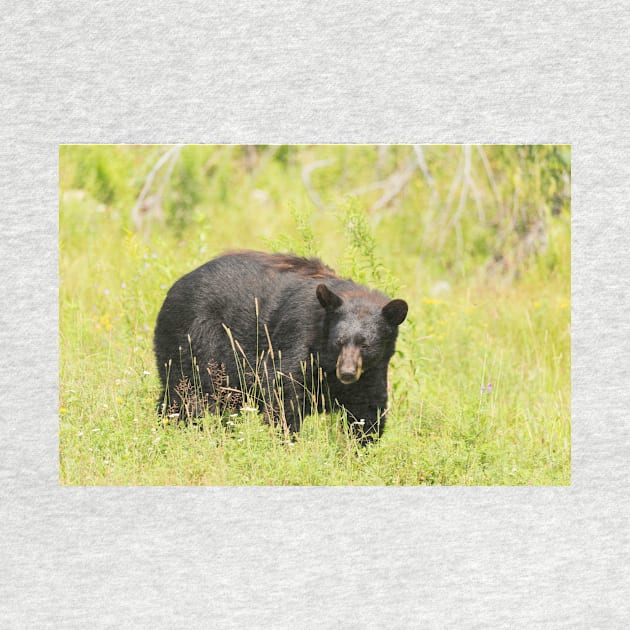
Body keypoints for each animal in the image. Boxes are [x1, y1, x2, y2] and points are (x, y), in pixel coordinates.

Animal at [154, 249, 410, 442]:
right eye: (339, 341)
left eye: (366, 344)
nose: (346, 373)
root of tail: (174, 287)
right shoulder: (298, 338)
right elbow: (284, 391)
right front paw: (285, 441)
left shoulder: (371, 372)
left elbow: (368, 410)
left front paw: (361, 449)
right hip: (195, 340)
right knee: (187, 393)